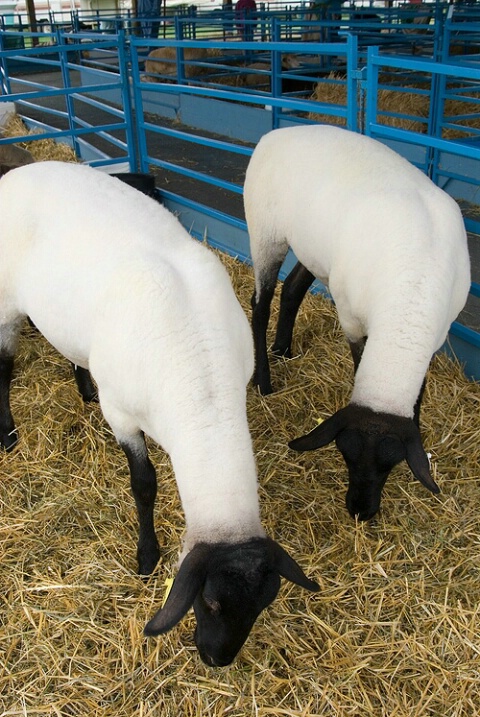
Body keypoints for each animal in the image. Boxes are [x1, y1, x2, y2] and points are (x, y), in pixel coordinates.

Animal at [0, 159, 318, 664]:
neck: (200, 385)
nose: (217, 659)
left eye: (264, 604)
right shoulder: (122, 415)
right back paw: (8, 433)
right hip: (5, 304)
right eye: (209, 600)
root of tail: (20, 170)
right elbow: (144, 484)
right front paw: (147, 557)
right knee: (4, 367)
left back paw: (83, 388)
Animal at [246, 124, 470, 520]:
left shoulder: (435, 337)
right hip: (264, 233)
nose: (359, 512)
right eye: (344, 455)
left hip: (314, 248)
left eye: (391, 465)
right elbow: (358, 362)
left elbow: (418, 393)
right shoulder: (351, 319)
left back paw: (283, 348)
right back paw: (264, 380)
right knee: (260, 303)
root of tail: (278, 132)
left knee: (292, 288)